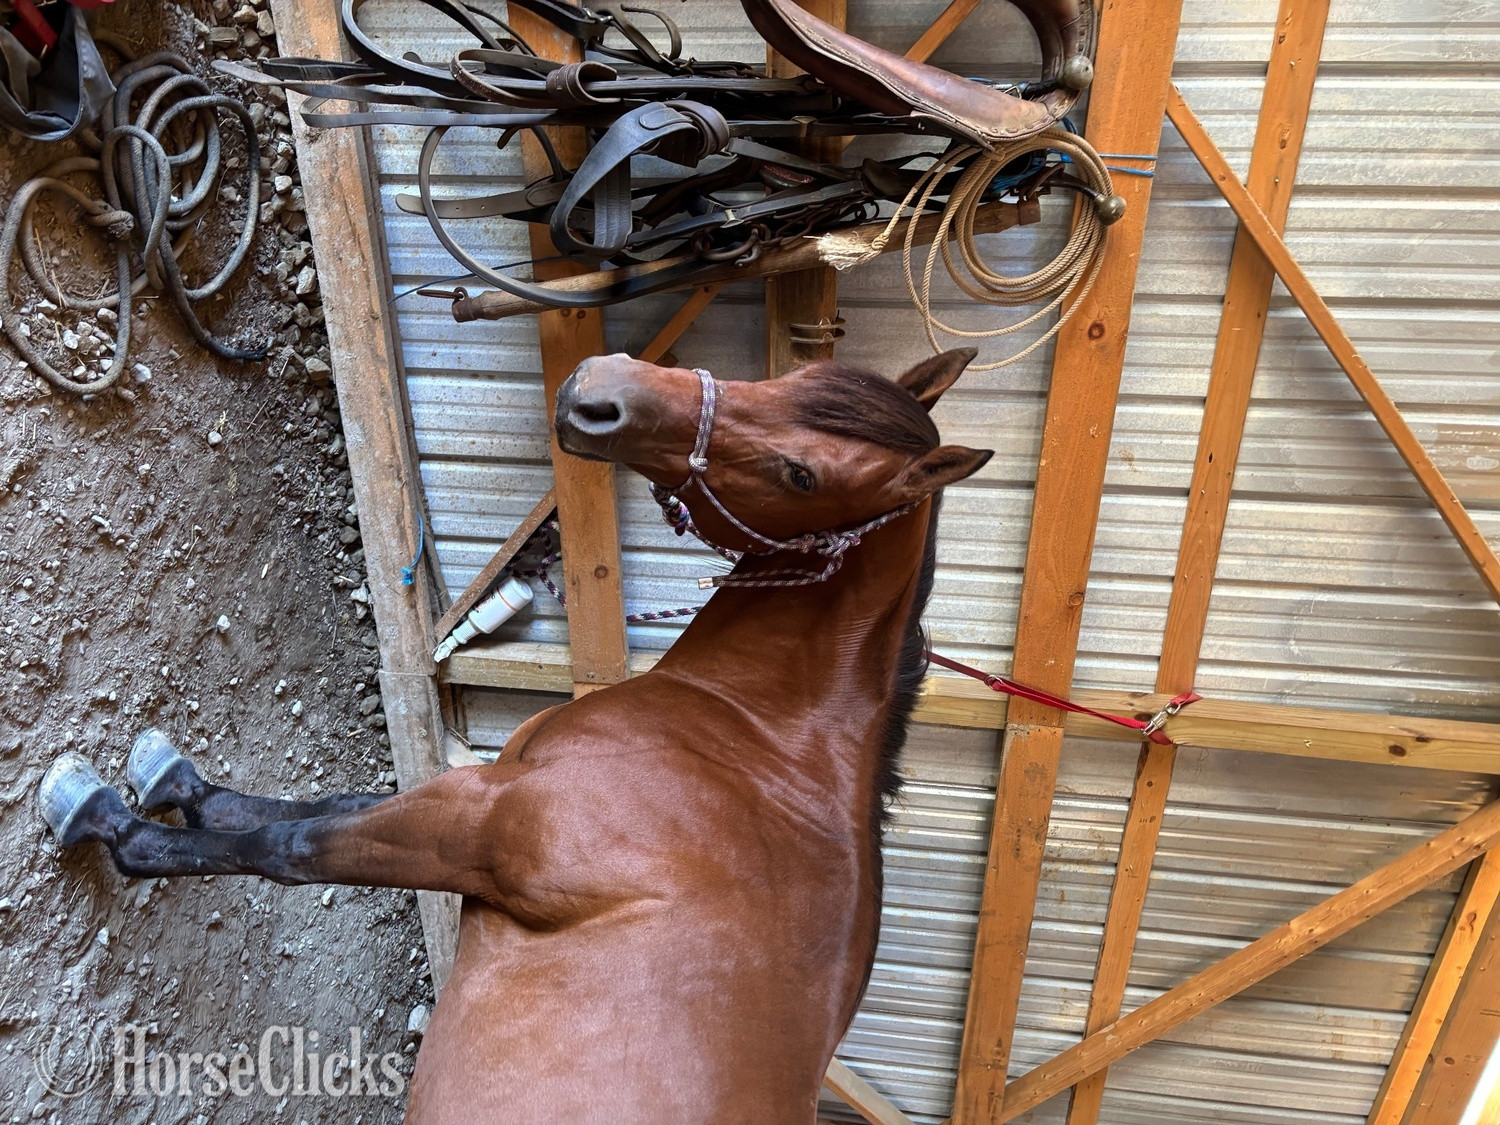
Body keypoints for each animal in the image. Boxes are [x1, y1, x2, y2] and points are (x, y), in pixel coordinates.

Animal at [39, 347, 992, 1123]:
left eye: (803, 475)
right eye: (800, 372)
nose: (601, 390)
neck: (759, 743)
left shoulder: (478, 827)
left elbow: (296, 845)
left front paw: (118, 828)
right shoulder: (487, 781)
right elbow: (318, 803)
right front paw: (179, 786)